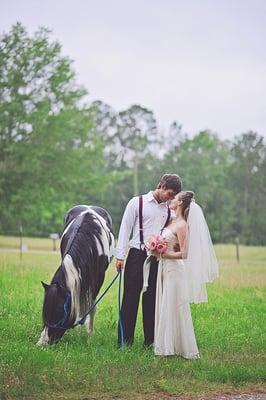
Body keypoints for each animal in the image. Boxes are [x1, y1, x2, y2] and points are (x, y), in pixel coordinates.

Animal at [36, 206, 114, 344]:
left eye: (58, 310)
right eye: (45, 310)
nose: (45, 341)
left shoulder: (99, 278)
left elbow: (92, 306)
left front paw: (90, 336)